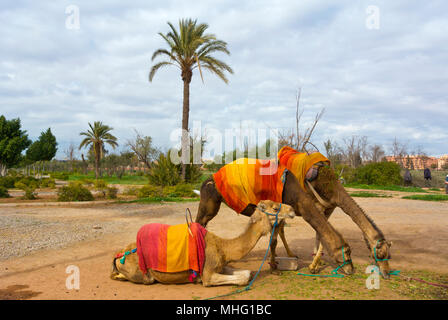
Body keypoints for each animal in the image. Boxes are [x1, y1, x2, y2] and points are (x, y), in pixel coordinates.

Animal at [110, 200, 296, 288]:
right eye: (274, 208)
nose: (292, 210)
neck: (223, 247)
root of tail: (120, 255)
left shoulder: (220, 265)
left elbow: (247, 273)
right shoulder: (208, 274)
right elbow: (242, 279)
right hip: (143, 274)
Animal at [196, 146, 392, 278]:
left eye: (388, 255)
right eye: (347, 253)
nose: (387, 273)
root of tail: (210, 178)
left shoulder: (323, 208)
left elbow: (316, 235)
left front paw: (313, 264)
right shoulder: (301, 206)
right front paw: (281, 267)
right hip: (209, 203)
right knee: (200, 221)